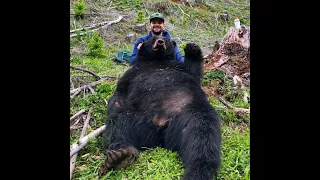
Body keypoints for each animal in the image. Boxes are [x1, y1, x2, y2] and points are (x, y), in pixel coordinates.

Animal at [101, 35, 221, 180]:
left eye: (165, 38)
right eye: (153, 38)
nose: (160, 41)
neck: (157, 61)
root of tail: (160, 124)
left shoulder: (179, 67)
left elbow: (194, 71)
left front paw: (192, 48)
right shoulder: (132, 73)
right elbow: (120, 92)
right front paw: (114, 105)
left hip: (192, 113)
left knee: (202, 137)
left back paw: (197, 171)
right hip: (136, 119)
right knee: (118, 126)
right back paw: (120, 155)